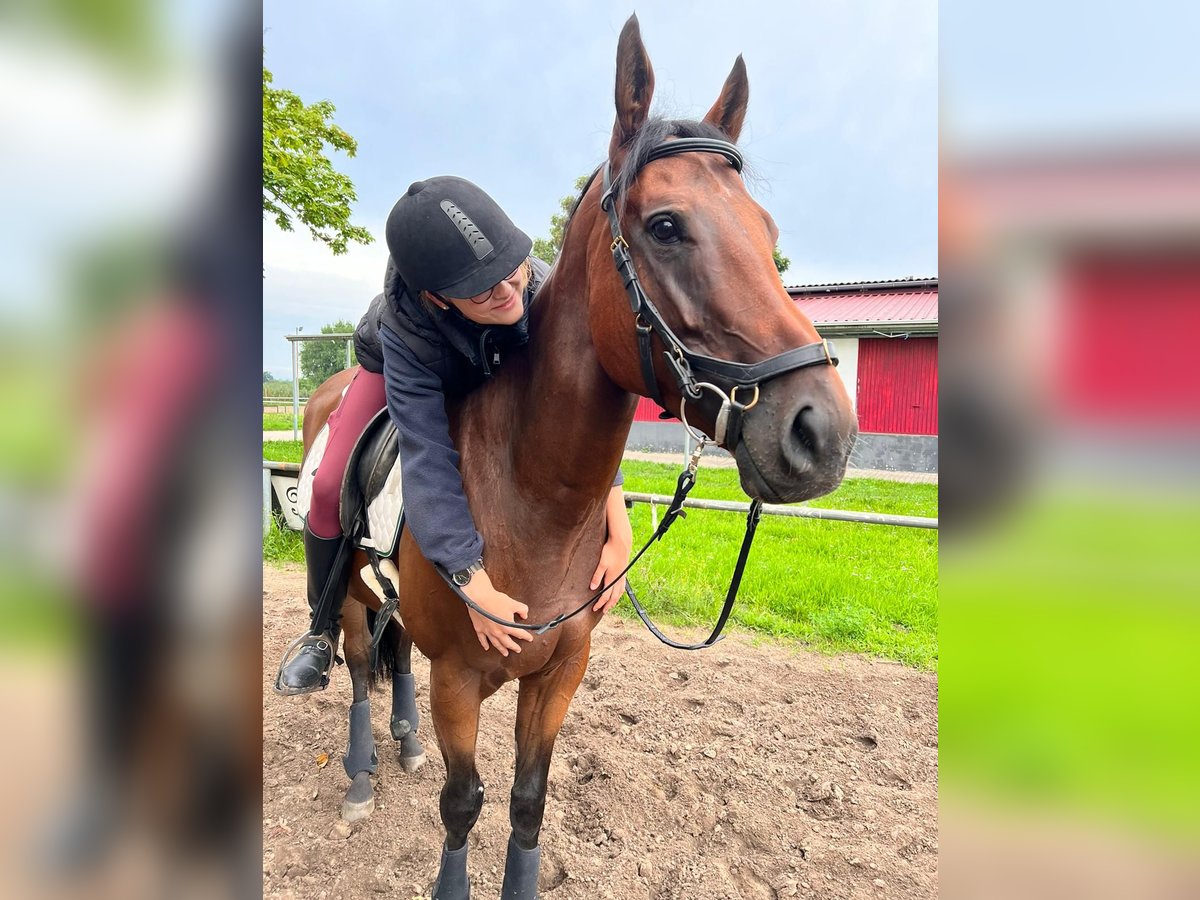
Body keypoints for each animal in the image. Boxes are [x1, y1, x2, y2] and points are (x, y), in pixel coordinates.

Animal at [296, 15, 859, 900]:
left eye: (767, 232)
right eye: (665, 226)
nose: (822, 432)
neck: (531, 498)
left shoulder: (562, 670)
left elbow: (528, 800)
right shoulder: (462, 681)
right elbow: (464, 804)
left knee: (396, 654)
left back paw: (406, 740)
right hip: (349, 592)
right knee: (356, 663)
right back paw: (358, 772)